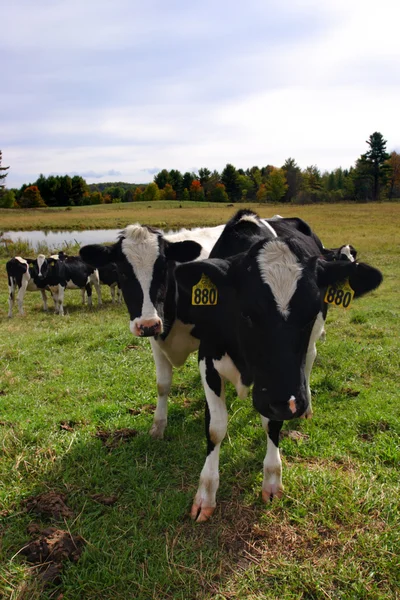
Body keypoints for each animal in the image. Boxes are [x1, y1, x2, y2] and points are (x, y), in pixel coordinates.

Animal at [176, 211, 384, 520]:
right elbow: (215, 427)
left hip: (308, 351)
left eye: (311, 310)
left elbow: (272, 424)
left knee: (309, 360)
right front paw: (206, 493)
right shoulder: (208, 359)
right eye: (246, 312)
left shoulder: (280, 391)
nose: (292, 404)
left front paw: (272, 479)